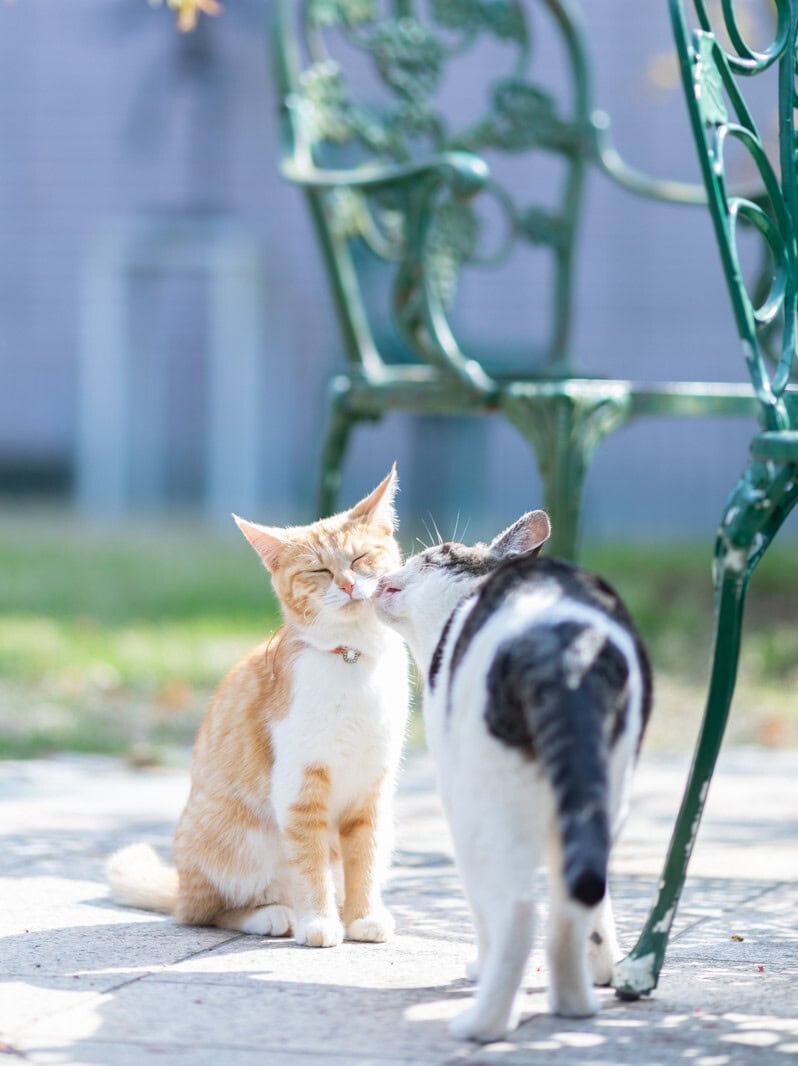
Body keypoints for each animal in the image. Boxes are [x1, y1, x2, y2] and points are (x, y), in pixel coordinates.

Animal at [106, 469, 406, 950]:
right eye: (319, 570)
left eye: (360, 558)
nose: (345, 584)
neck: (351, 659)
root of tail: (181, 887)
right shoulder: (301, 784)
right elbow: (310, 862)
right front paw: (319, 922)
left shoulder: (373, 787)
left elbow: (365, 858)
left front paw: (362, 917)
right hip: (236, 842)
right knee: (206, 911)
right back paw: (273, 915)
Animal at [377, 507, 652, 1040]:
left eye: (431, 558)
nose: (379, 577)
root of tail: (565, 649)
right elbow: (599, 912)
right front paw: (603, 965)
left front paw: (477, 969)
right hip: (605, 793)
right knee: (573, 904)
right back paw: (575, 1002)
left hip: (482, 809)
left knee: (517, 912)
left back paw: (482, 1022)